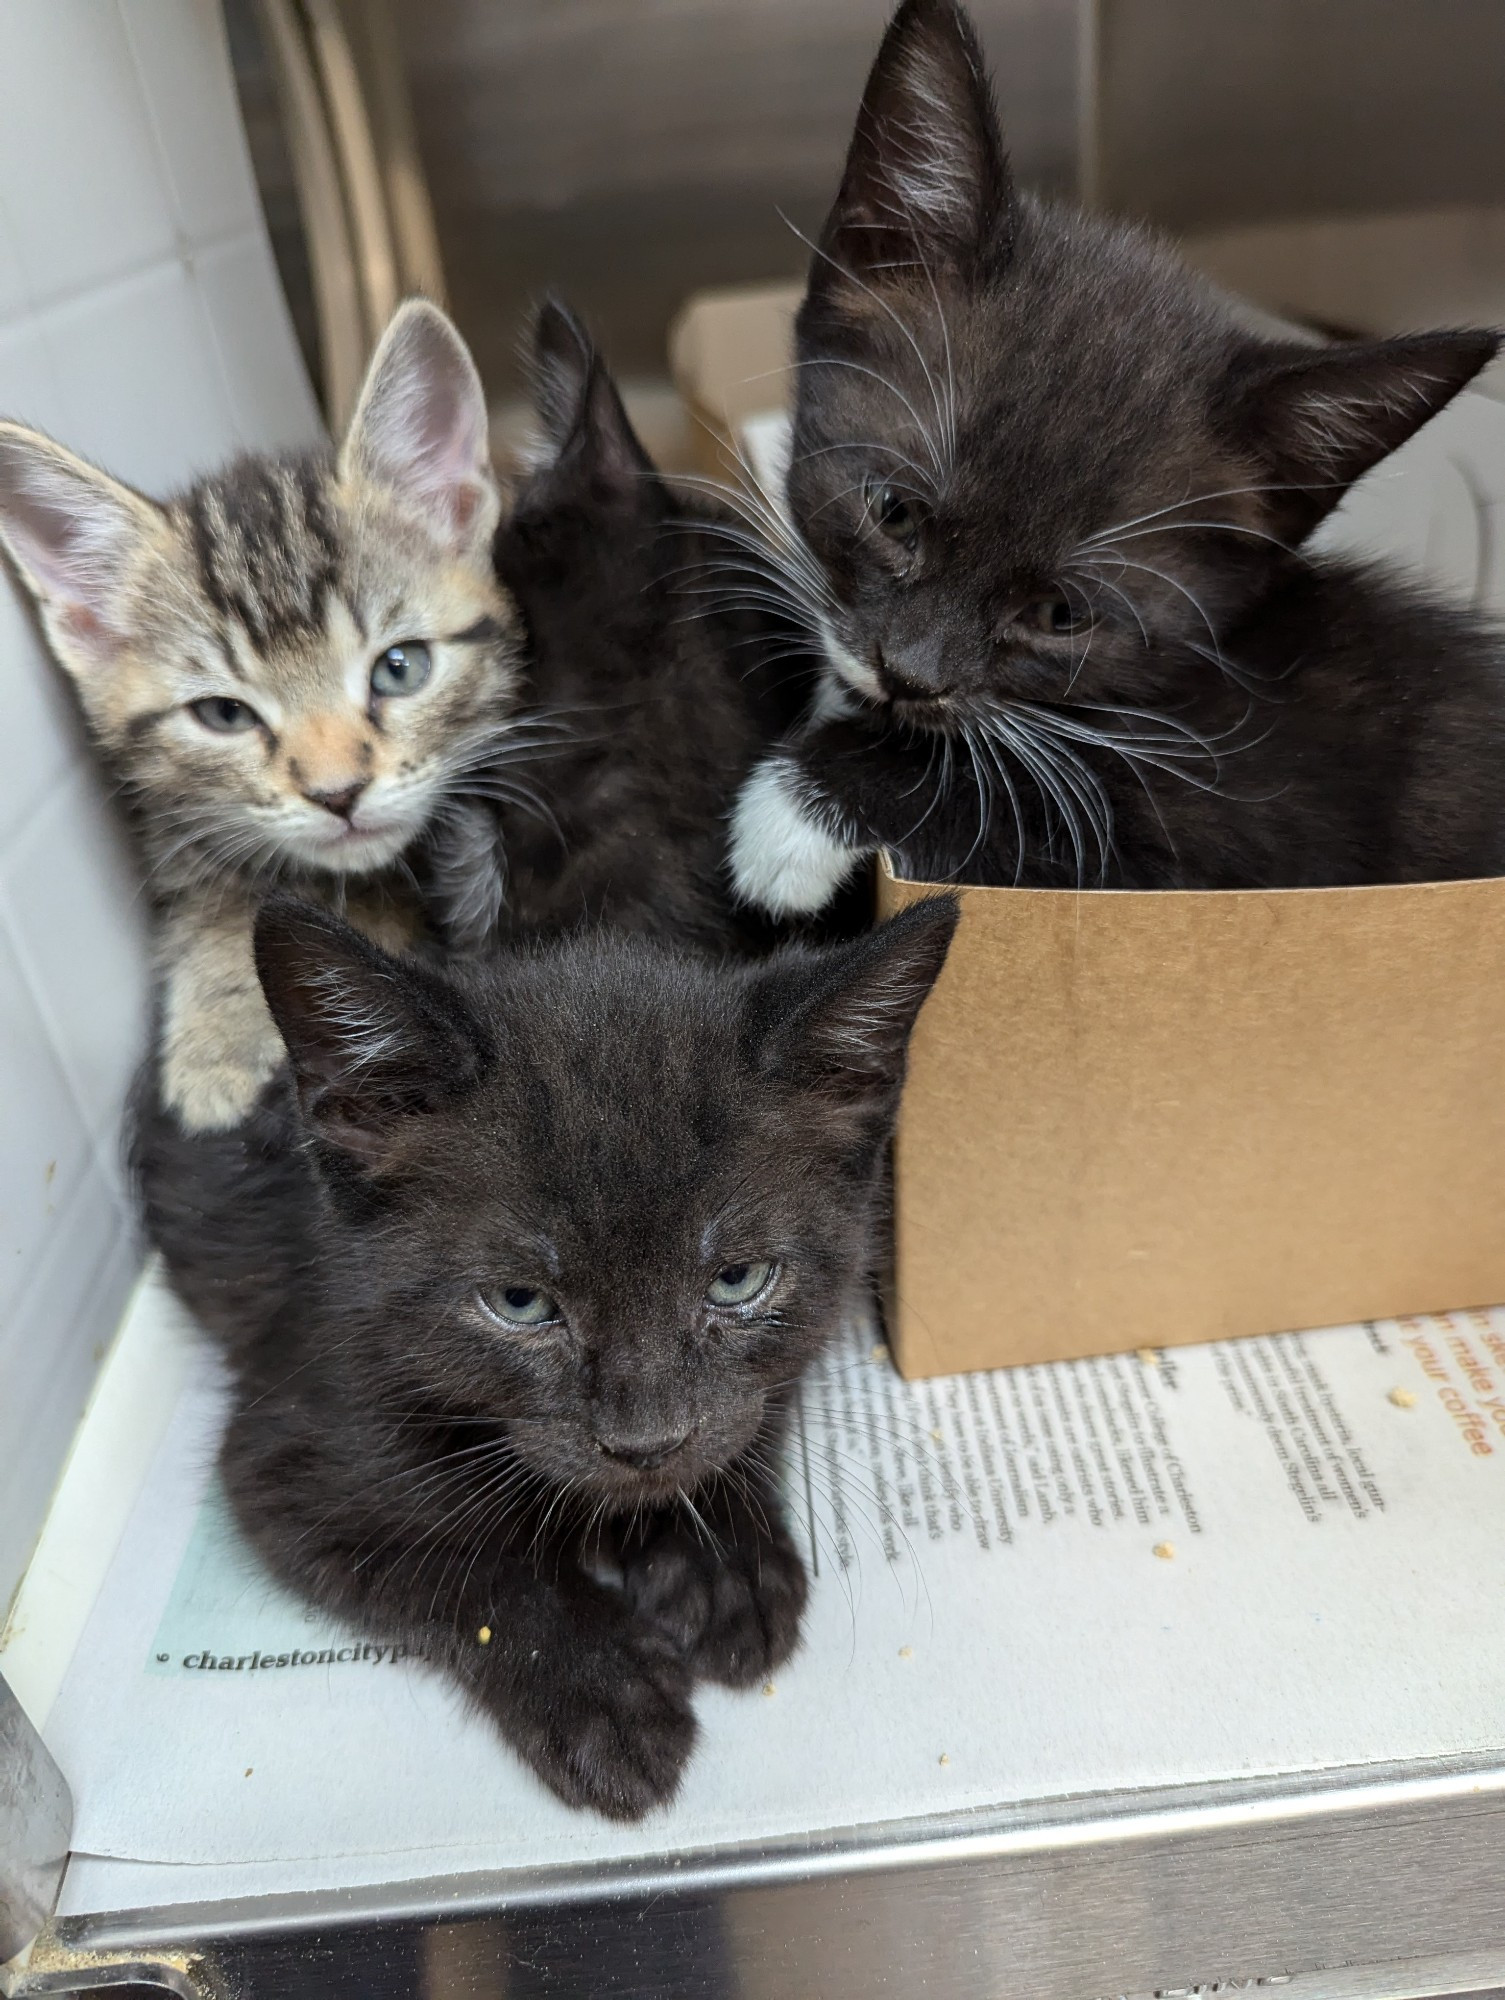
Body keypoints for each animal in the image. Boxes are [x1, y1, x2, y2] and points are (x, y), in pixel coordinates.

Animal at [129, 900, 952, 1824]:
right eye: (519, 1302)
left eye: (737, 1280)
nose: (643, 1443)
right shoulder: (290, 1453)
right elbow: (473, 1566)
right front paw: (604, 1690)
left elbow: (750, 1411)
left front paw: (721, 1561)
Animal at [728, 0, 1505, 916]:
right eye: (893, 512)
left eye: (1061, 614)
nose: (907, 675)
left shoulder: (1250, 832)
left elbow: (1063, 806)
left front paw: (790, 817)